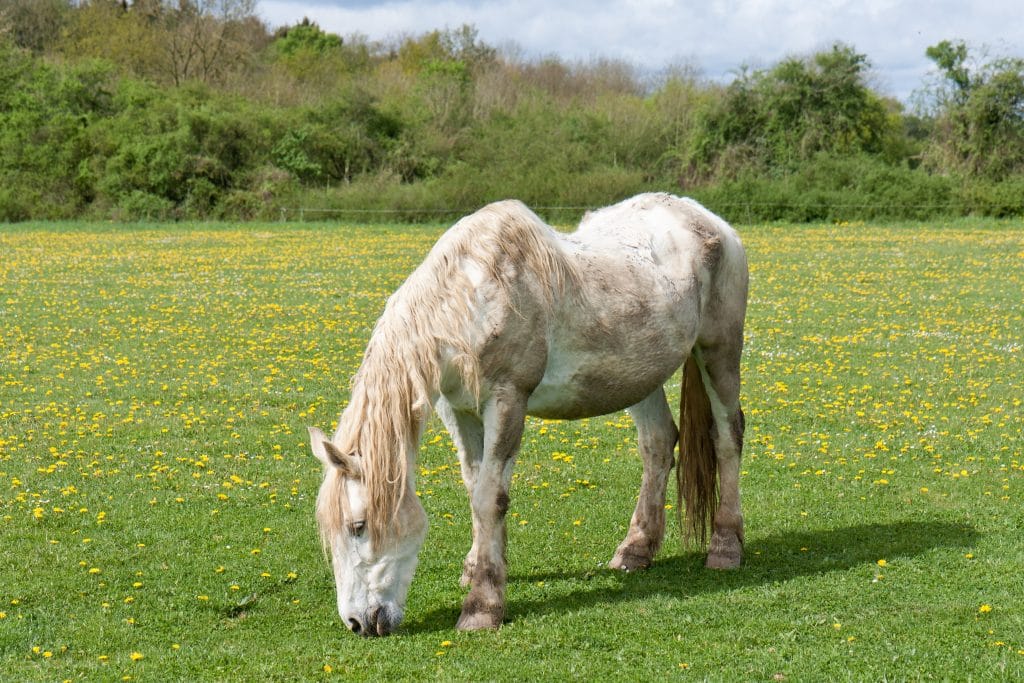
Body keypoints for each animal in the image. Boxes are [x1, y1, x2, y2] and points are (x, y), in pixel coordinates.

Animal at [307, 192, 749, 634]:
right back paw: (635, 551)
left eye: (358, 526)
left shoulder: (507, 401)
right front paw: (479, 567)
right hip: (641, 377)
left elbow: (490, 497)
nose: (358, 623)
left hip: (719, 352)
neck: (472, 303)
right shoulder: (459, 409)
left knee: (728, 437)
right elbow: (474, 486)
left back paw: (725, 547)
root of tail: (711, 221)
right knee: (658, 443)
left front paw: (483, 606)